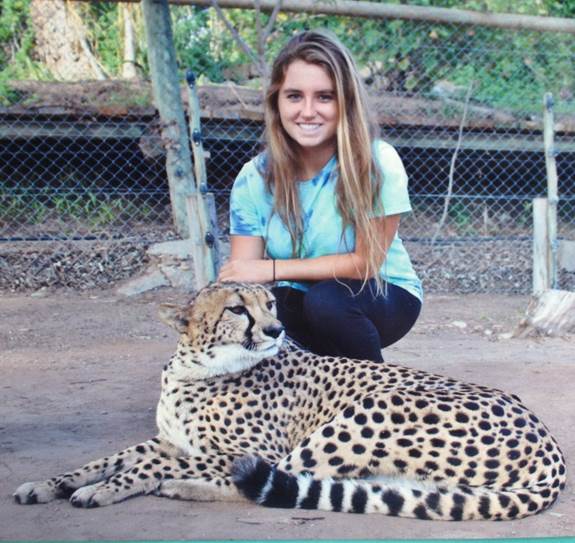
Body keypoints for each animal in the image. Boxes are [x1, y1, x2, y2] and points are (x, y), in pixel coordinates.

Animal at [13, 282, 568, 520]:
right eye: (237, 309)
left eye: (270, 304)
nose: (276, 330)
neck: (197, 369)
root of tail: (549, 444)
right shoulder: (167, 441)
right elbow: (104, 460)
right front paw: (48, 485)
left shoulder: (243, 452)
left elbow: (143, 468)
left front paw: (105, 490)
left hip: (367, 411)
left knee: (277, 482)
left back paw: (180, 488)